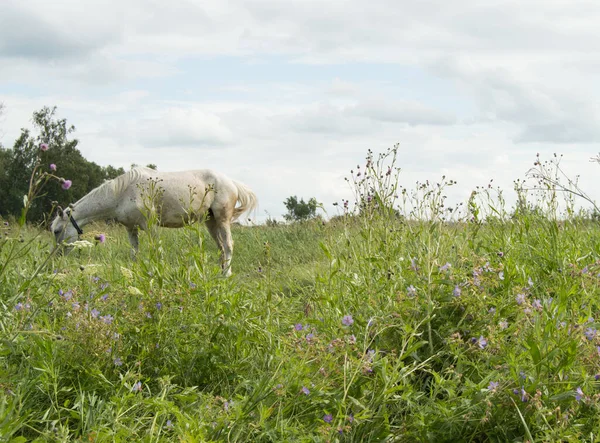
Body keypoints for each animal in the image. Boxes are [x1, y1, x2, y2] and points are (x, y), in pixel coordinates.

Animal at [50, 167, 256, 276]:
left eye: (56, 231)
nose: (56, 256)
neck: (122, 192)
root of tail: (231, 182)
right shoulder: (131, 229)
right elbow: (134, 253)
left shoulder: (150, 227)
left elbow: (157, 250)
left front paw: (157, 272)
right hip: (210, 222)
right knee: (221, 247)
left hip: (222, 219)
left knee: (228, 245)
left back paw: (226, 274)